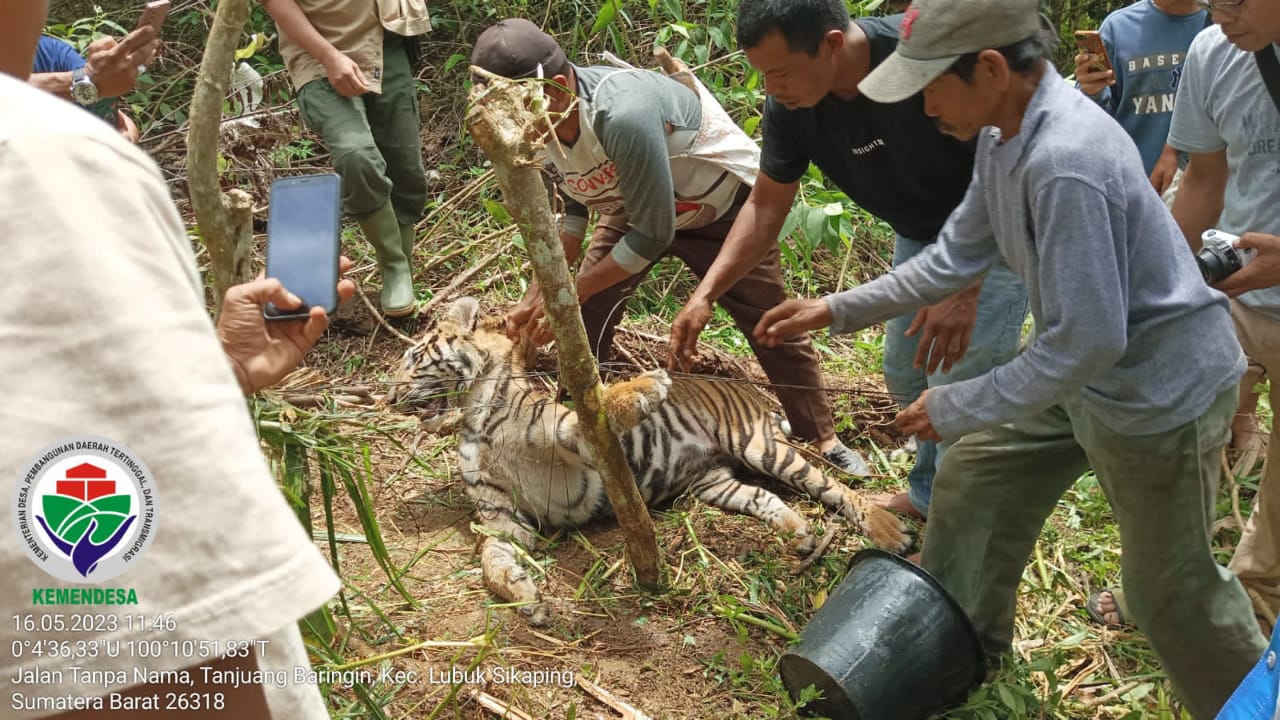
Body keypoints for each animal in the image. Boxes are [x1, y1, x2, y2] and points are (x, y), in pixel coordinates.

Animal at [381, 295, 911, 622]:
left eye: (414, 359)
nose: (388, 397)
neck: (477, 422)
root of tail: (751, 393)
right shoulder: (502, 521)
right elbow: (492, 560)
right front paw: (525, 596)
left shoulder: (576, 442)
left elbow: (596, 408)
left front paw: (645, 386)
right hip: (713, 481)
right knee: (765, 498)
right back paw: (798, 532)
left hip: (759, 446)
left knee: (831, 485)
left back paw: (889, 530)